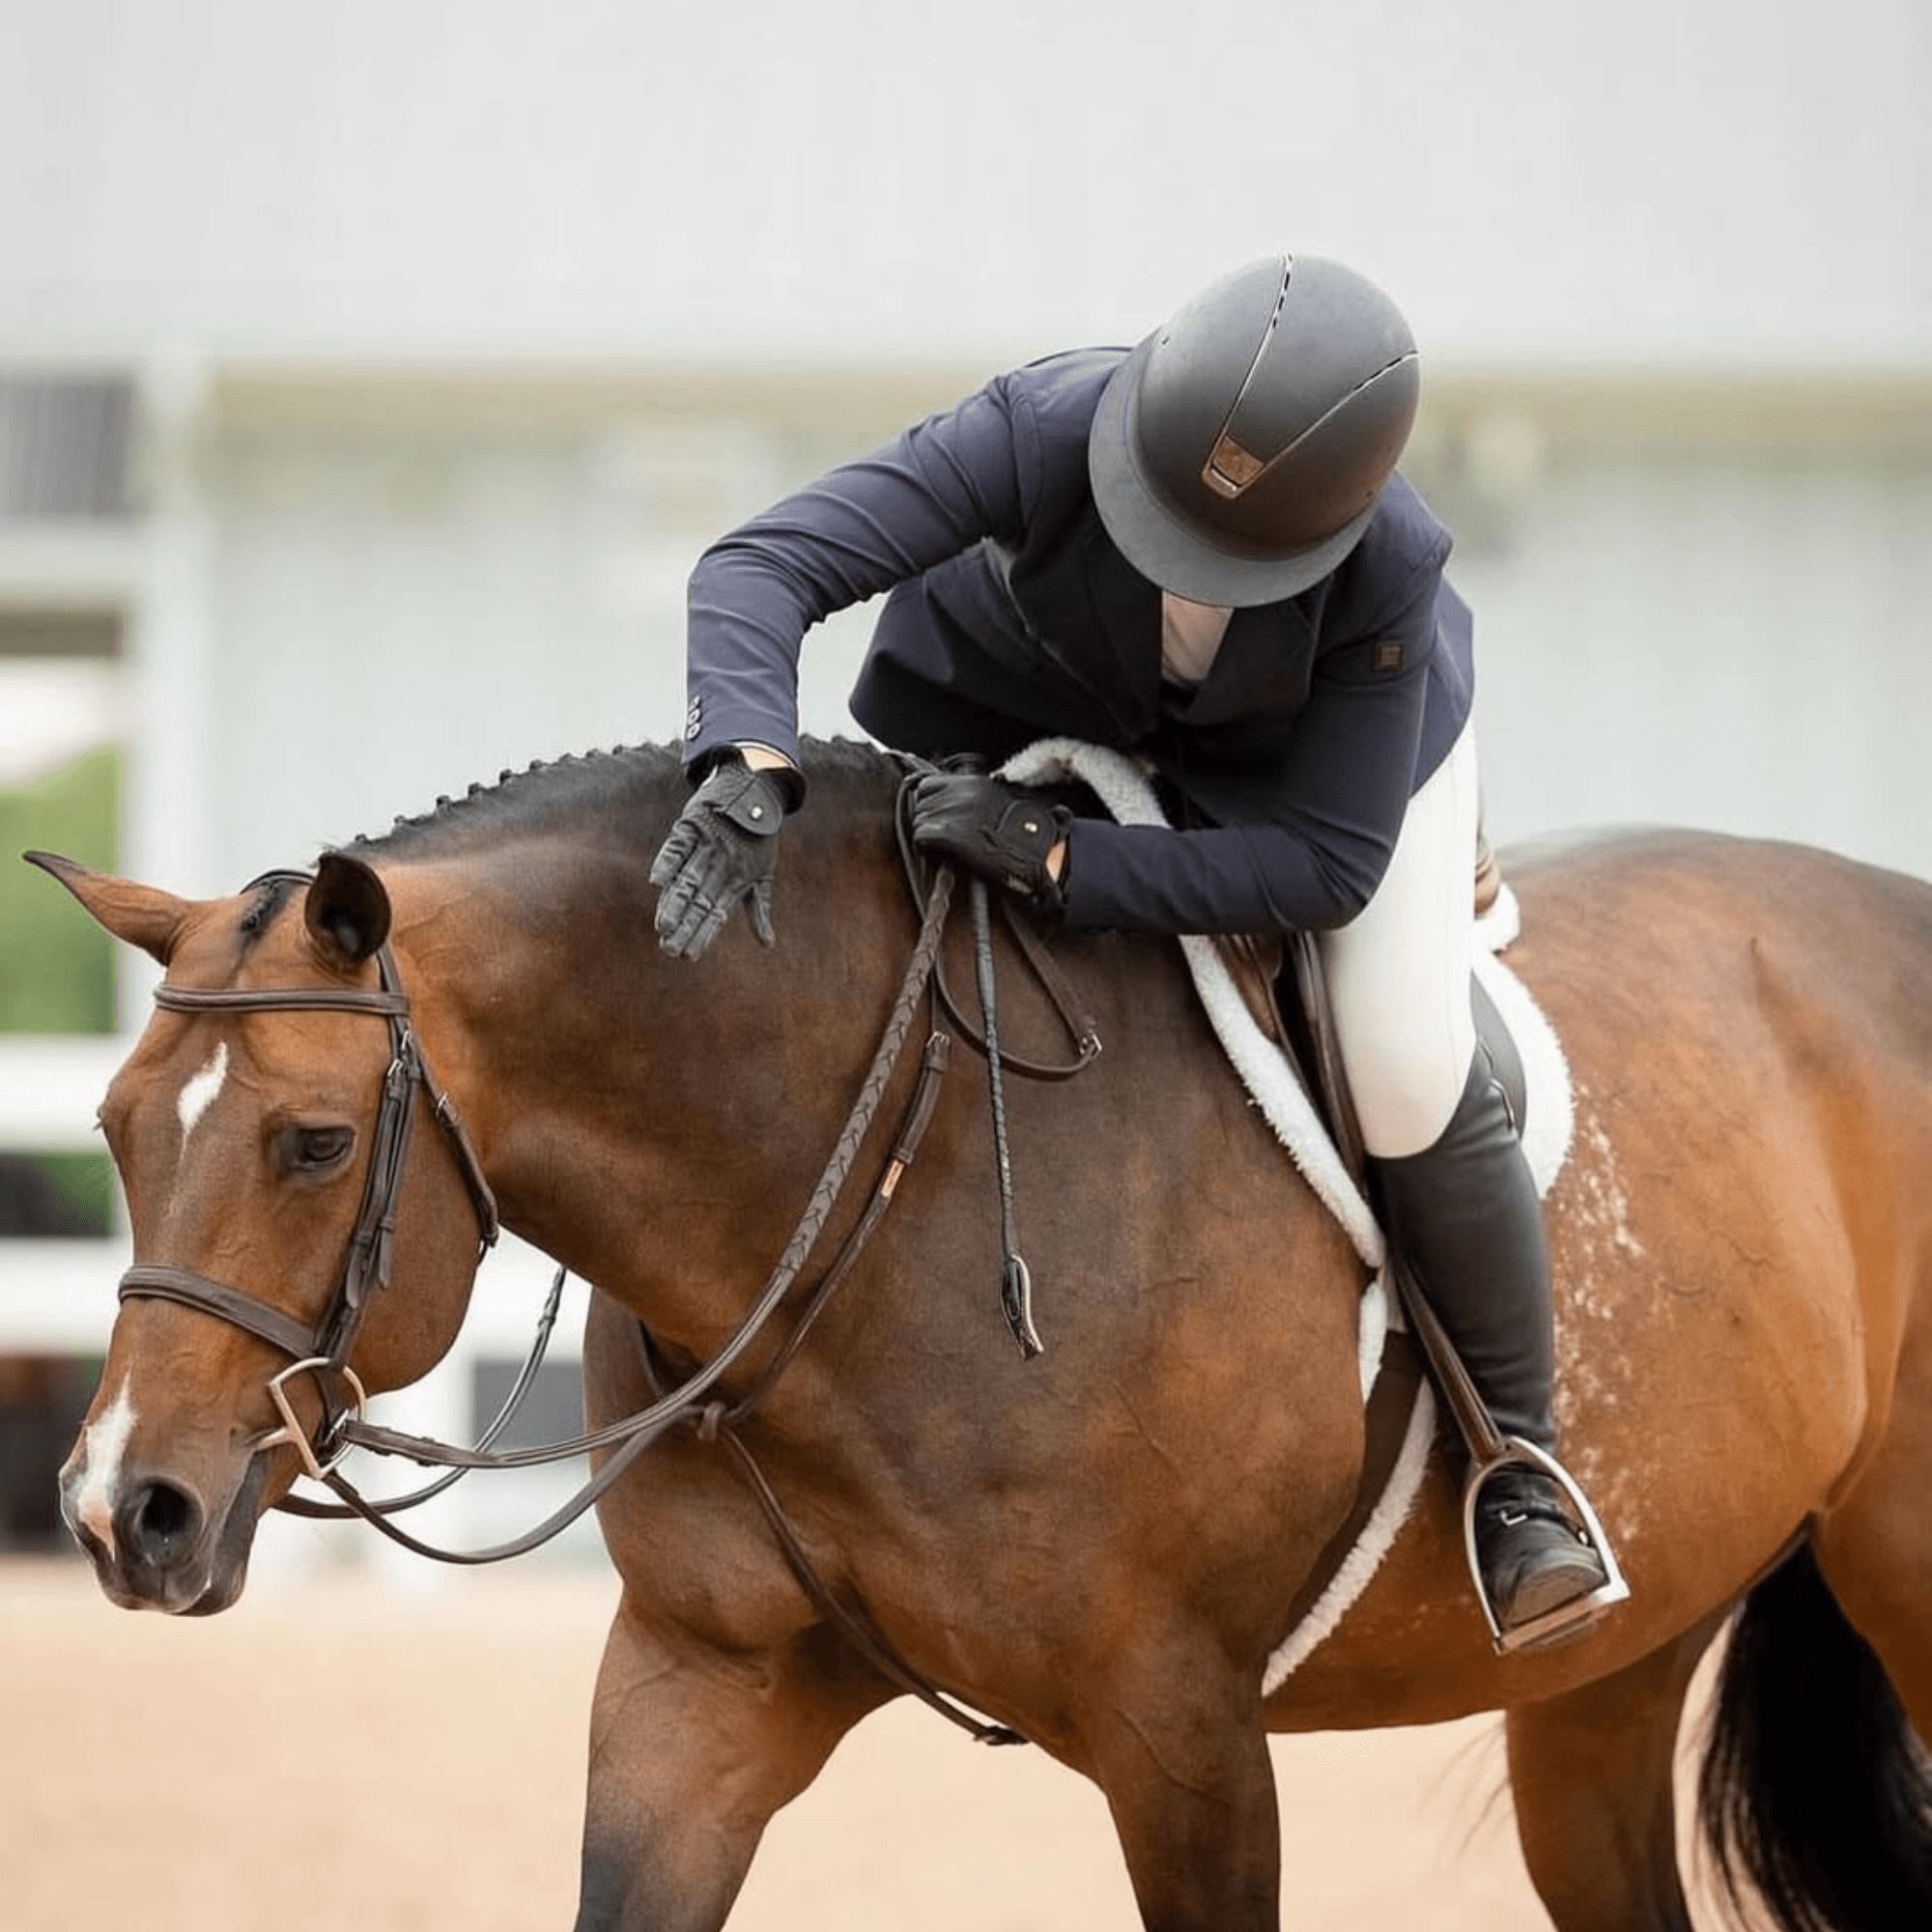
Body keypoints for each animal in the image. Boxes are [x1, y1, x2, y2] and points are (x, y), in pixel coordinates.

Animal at [29, 736, 1932, 1932]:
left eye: (311, 1143)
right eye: (116, 1126)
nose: (126, 1513)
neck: (860, 1196)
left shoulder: (1187, 1738)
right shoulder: (695, 1691)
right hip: (1608, 1671)